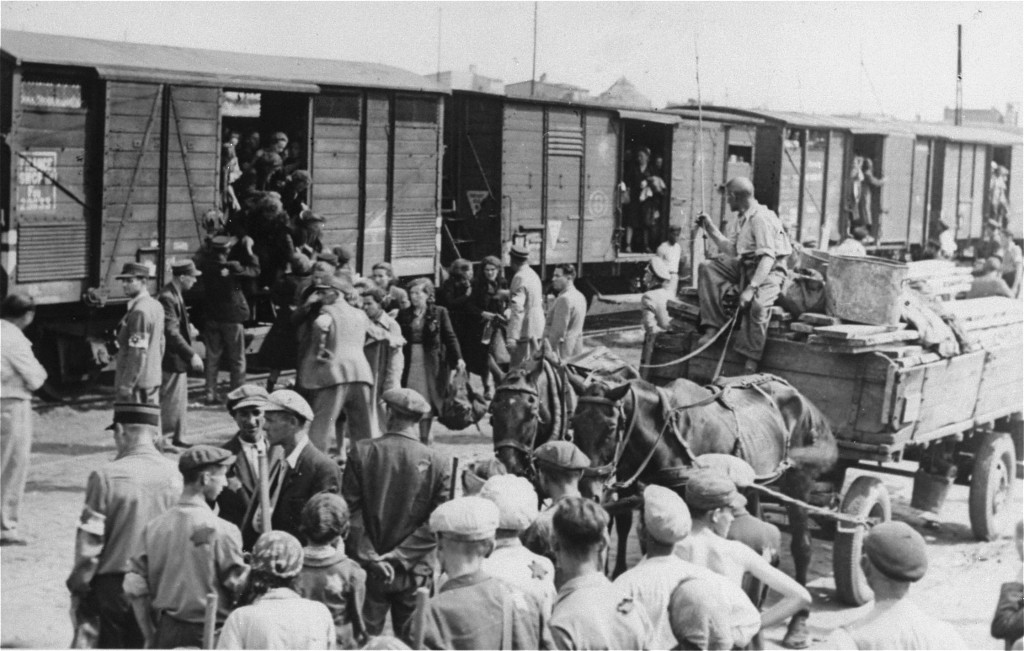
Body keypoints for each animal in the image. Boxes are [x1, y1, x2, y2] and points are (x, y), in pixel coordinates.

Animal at [569, 370, 839, 646]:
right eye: (574, 425)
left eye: (611, 428)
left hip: (799, 481)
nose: (588, 491)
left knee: (802, 546)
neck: (669, 436)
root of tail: (803, 400)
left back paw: (798, 624)